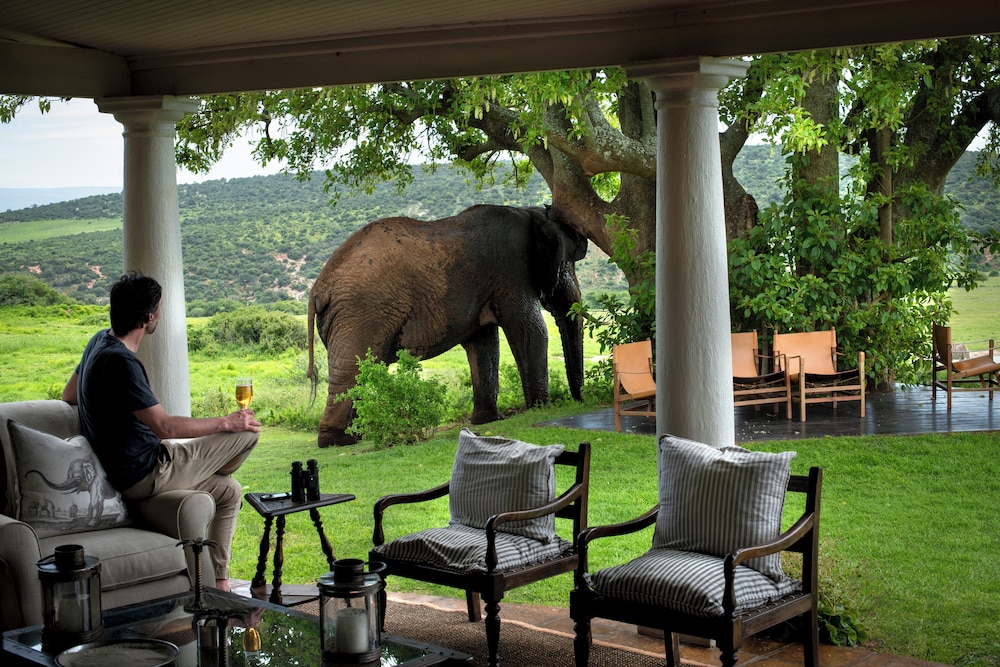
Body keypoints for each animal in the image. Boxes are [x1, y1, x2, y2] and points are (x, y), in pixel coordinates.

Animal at [307, 204, 588, 448]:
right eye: (568, 264)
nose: (580, 399)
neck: (530, 212)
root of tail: (318, 289)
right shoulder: (512, 272)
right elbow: (532, 332)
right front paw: (540, 409)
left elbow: (483, 346)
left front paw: (487, 420)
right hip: (361, 312)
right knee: (353, 369)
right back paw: (341, 441)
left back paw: (358, 435)